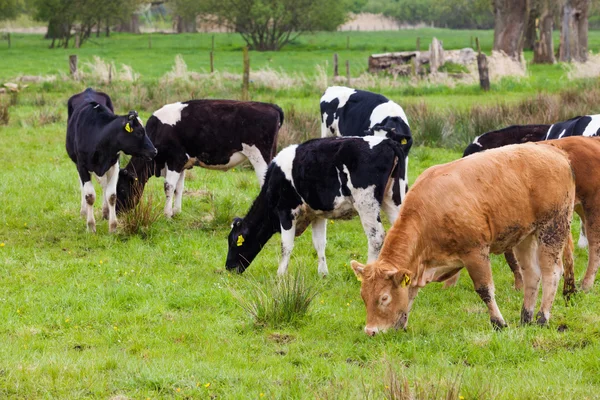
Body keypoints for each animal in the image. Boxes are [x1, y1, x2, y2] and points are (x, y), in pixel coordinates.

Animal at [65, 87, 157, 231]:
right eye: (139, 132)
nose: (154, 151)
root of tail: (88, 90)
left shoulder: (114, 165)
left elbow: (112, 195)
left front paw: (113, 226)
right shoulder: (82, 166)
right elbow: (89, 196)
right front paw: (91, 226)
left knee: (104, 186)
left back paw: (105, 212)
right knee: (83, 186)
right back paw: (84, 212)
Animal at [119, 100, 286, 219]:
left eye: (120, 188)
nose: (118, 212)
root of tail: (270, 106)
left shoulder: (175, 160)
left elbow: (168, 187)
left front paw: (166, 215)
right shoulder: (182, 164)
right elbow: (179, 187)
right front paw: (176, 212)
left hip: (260, 158)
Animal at [226, 136, 408, 276]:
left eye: (234, 241)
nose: (228, 268)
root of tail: (388, 142)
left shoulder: (285, 211)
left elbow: (286, 245)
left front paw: (280, 274)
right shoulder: (317, 214)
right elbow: (319, 243)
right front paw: (323, 274)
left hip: (367, 203)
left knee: (376, 237)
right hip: (392, 199)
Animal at [352, 144, 576, 334]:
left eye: (384, 297)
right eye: (363, 296)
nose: (370, 330)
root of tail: (553, 151)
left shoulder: (475, 253)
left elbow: (485, 290)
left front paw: (498, 322)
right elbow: (411, 294)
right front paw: (402, 323)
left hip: (553, 227)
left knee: (551, 273)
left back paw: (542, 318)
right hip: (525, 236)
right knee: (531, 274)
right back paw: (526, 318)